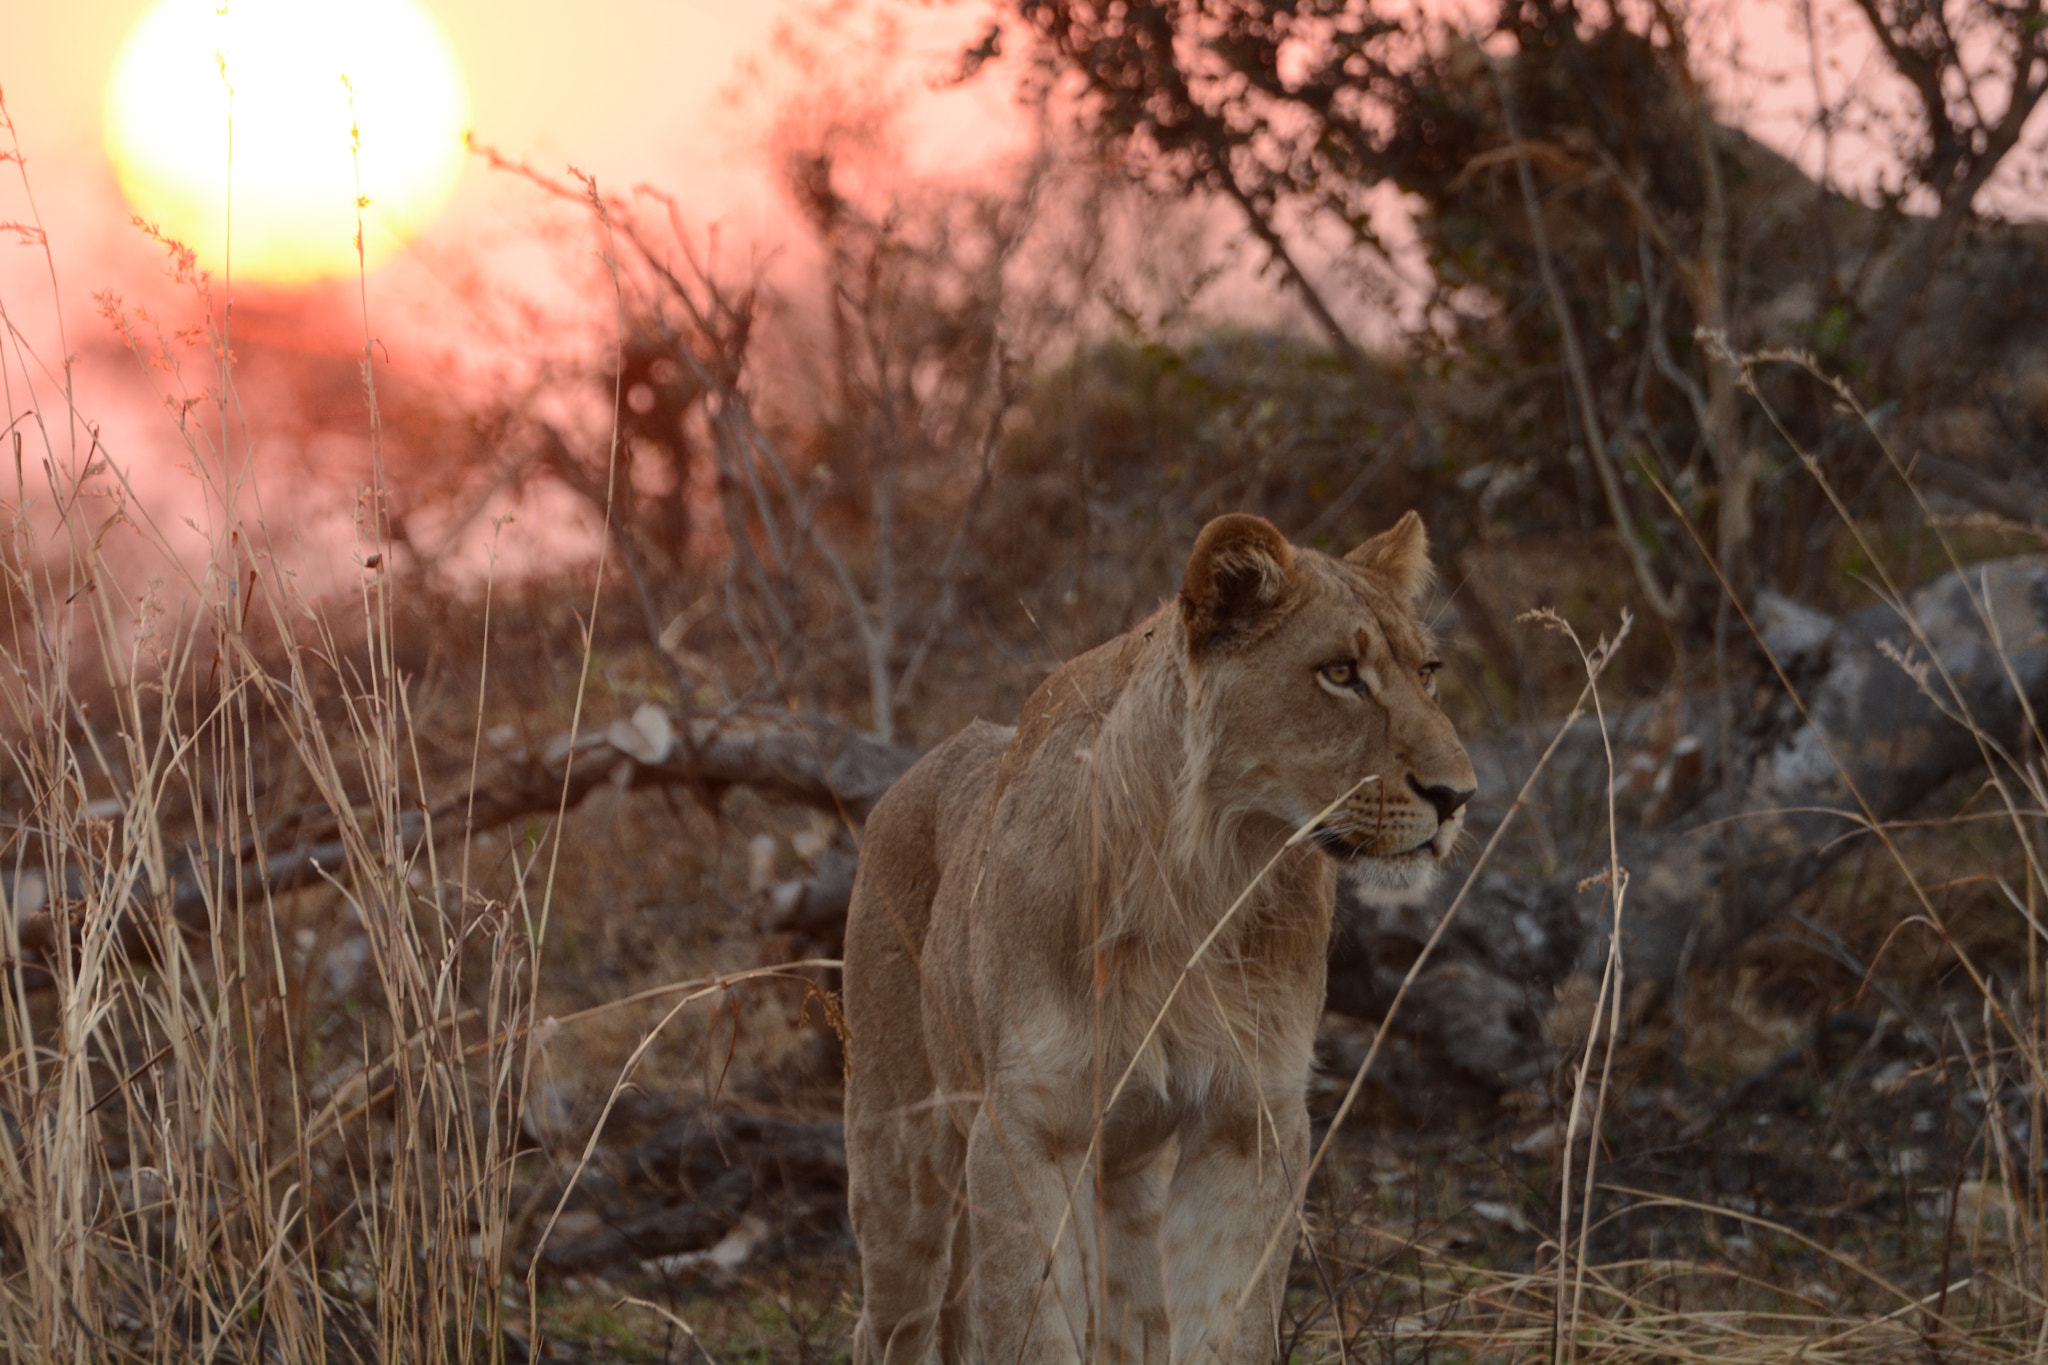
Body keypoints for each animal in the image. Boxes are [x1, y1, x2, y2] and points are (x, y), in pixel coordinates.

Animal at [843, 512, 1476, 1364]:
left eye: (1428, 671)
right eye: (1341, 673)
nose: (1457, 795)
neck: (1205, 877)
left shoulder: (1249, 1118)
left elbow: (1228, 1324)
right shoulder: (1026, 1127)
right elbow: (1033, 1328)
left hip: (1127, 1175)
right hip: (899, 1155)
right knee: (891, 1319)